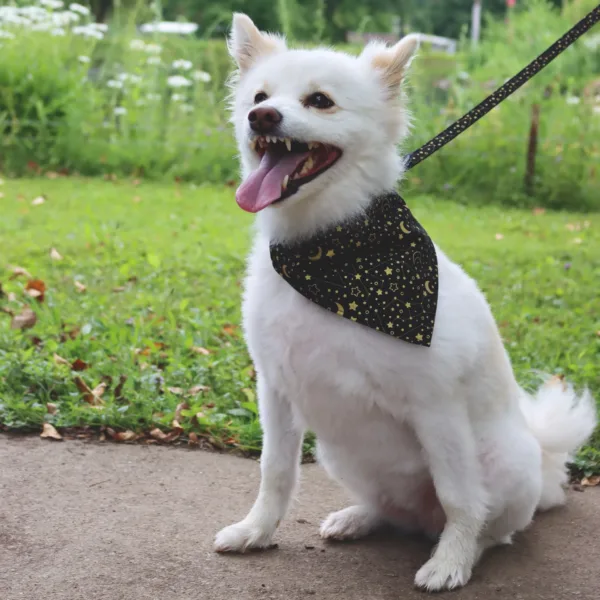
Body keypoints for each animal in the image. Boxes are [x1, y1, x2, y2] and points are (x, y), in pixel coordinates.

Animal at [213, 14, 596, 592]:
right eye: (259, 96)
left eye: (320, 101)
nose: (262, 116)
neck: (325, 251)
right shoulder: (276, 391)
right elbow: (275, 472)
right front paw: (255, 532)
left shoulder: (437, 408)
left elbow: (461, 498)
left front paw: (450, 563)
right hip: (343, 453)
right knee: (391, 510)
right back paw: (358, 518)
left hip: (501, 464)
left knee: (486, 523)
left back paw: (462, 547)